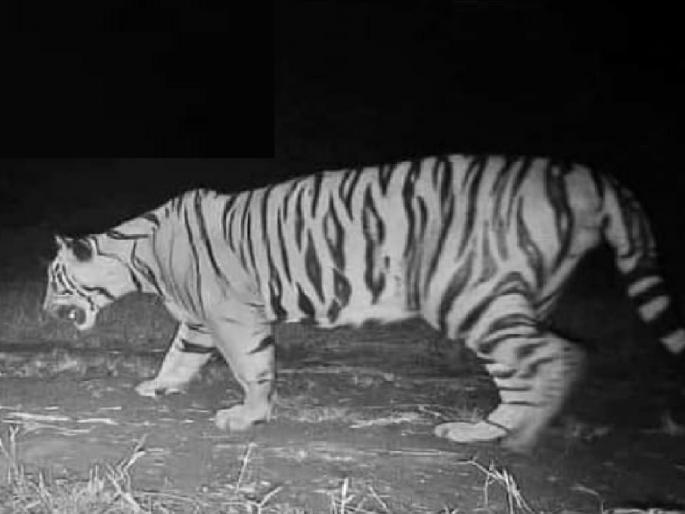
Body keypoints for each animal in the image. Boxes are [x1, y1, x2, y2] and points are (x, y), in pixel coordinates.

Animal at [42, 154, 685, 453]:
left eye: (55, 281)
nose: (46, 310)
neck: (140, 255)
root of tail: (584, 175)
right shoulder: (201, 321)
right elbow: (178, 356)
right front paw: (159, 387)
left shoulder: (230, 313)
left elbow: (251, 367)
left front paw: (247, 416)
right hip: (515, 300)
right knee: (532, 366)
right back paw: (488, 431)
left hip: (469, 299)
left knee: (554, 357)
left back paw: (512, 439)